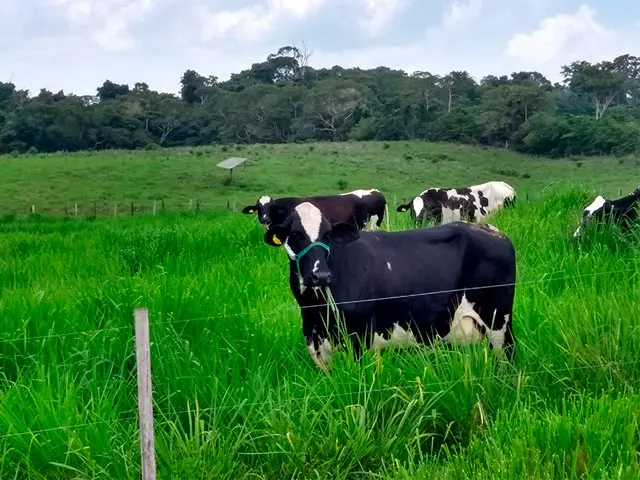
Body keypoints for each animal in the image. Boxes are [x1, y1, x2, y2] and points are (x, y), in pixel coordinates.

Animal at [262, 200, 516, 372]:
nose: (321, 275)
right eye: (296, 234)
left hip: (498, 321)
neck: (317, 310)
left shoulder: (359, 339)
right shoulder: (315, 345)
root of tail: (492, 231)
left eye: (327, 235)